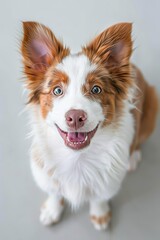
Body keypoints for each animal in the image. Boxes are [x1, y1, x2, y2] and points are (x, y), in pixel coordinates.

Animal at [20, 21, 158, 230]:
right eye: (57, 90)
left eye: (96, 89)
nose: (75, 117)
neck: (77, 158)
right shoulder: (45, 174)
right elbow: (55, 192)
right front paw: (52, 210)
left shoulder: (109, 181)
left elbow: (99, 197)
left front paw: (100, 215)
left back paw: (133, 157)